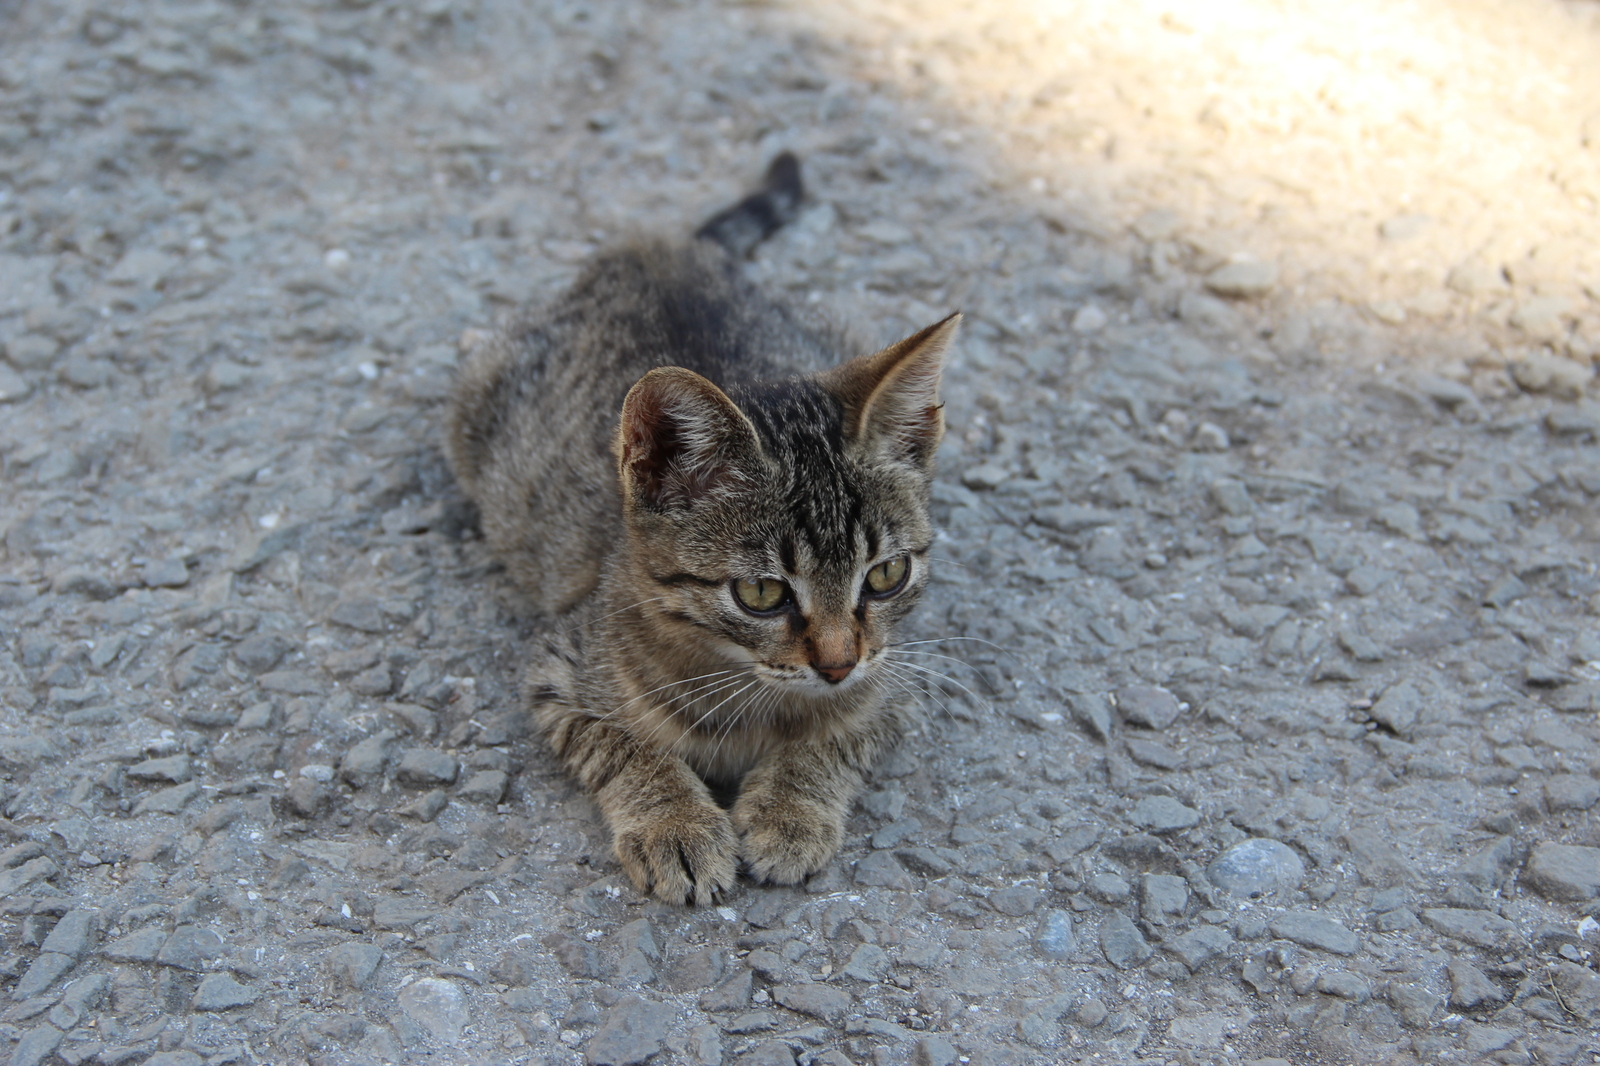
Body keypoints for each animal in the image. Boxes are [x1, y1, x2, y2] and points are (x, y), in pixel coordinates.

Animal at [444, 151, 953, 896]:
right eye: (762, 593)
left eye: (887, 575)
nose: (837, 665)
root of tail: (654, 246)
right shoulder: (556, 672)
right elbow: (622, 744)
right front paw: (675, 823)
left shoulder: (894, 680)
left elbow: (840, 736)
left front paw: (791, 808)